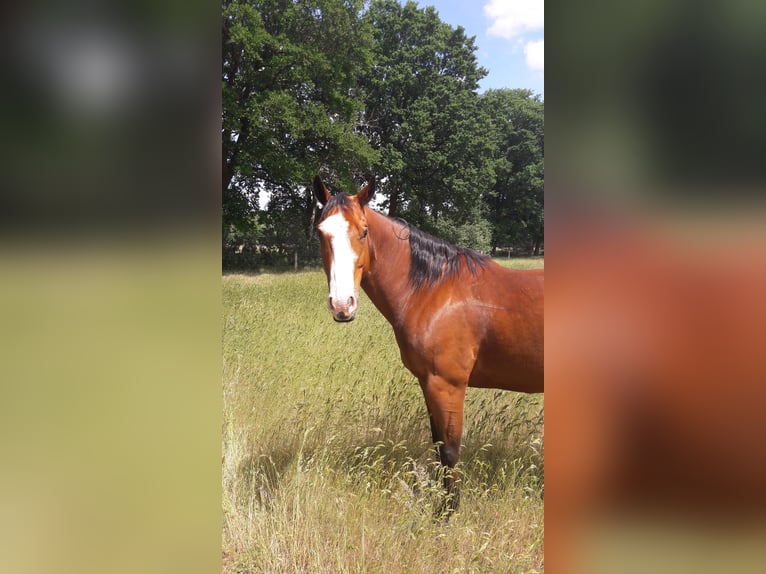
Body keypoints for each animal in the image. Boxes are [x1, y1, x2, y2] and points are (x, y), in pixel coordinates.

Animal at [313, 175, 544, 513]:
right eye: (321, 232)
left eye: (364, 231)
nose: (342, 305)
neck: (435, 291)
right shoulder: (428, 382)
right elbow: (437, 446)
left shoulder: (447, 385)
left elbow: (449, 451)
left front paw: (446, 513)